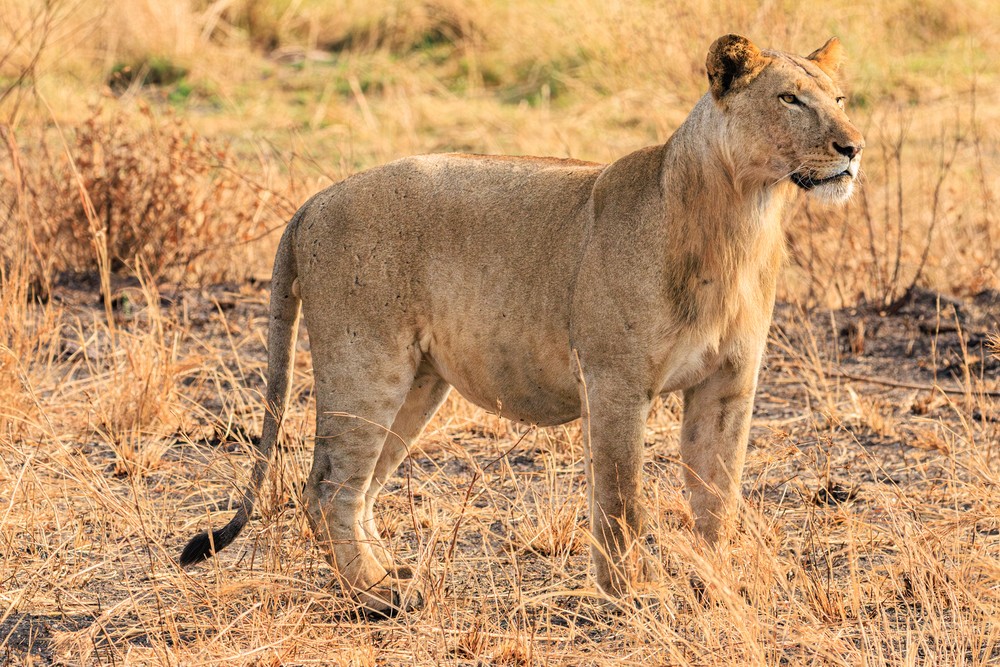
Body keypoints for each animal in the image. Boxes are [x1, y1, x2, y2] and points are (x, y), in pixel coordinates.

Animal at [180, 34, 864, 616]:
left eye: (839, 99)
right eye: (790, 99)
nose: (853, 148)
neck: (741, 215)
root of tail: (313, 202)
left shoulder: (728, 383)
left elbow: (717, 494)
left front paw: (717, 583)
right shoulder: (614, 380)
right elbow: (621, 497)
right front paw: (631, 596)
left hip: (420, 380)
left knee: (361, 487)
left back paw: (392, 574)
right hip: (366, 361)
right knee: (325, 487)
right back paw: (381, 596)